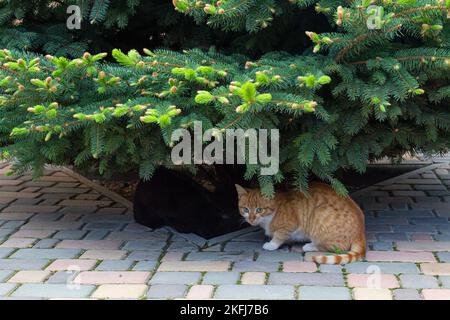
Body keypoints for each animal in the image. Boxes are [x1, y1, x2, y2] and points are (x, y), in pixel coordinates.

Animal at [236, 182, 366, 264]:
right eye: (245, 209)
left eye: (259, 210)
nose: (251, 219)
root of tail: (360, 232)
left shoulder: (290, 225)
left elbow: (279, 235)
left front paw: (272, 244)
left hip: (318, 214)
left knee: (336, 247)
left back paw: (309, 246)